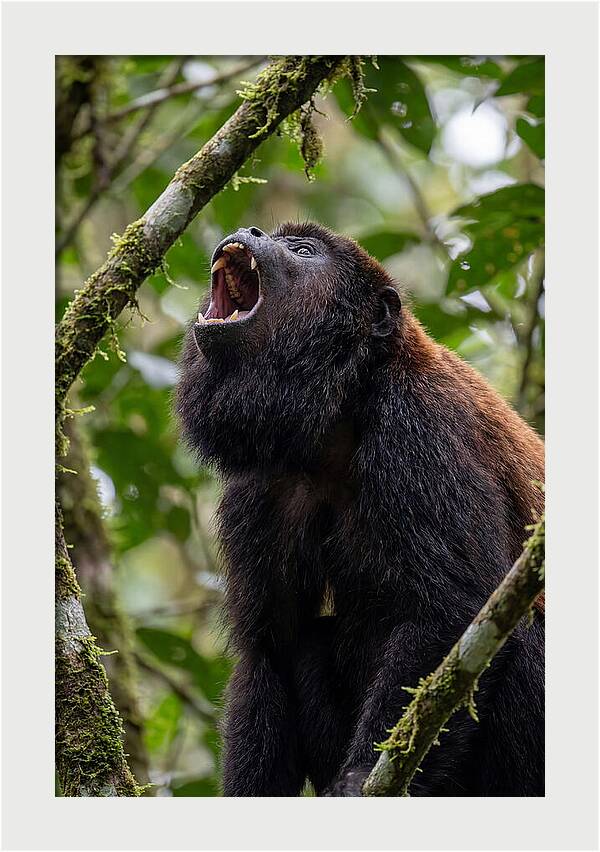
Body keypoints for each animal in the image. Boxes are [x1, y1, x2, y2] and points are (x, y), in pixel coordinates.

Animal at [175, 222, 544, 797]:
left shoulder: (419, 428)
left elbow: (454, 610)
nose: (250, 229)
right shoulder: (260, 484)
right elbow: (269, 649)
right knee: (306, 642)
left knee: (523, 632)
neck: (342, 412)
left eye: (303, 251)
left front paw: (356, 780)